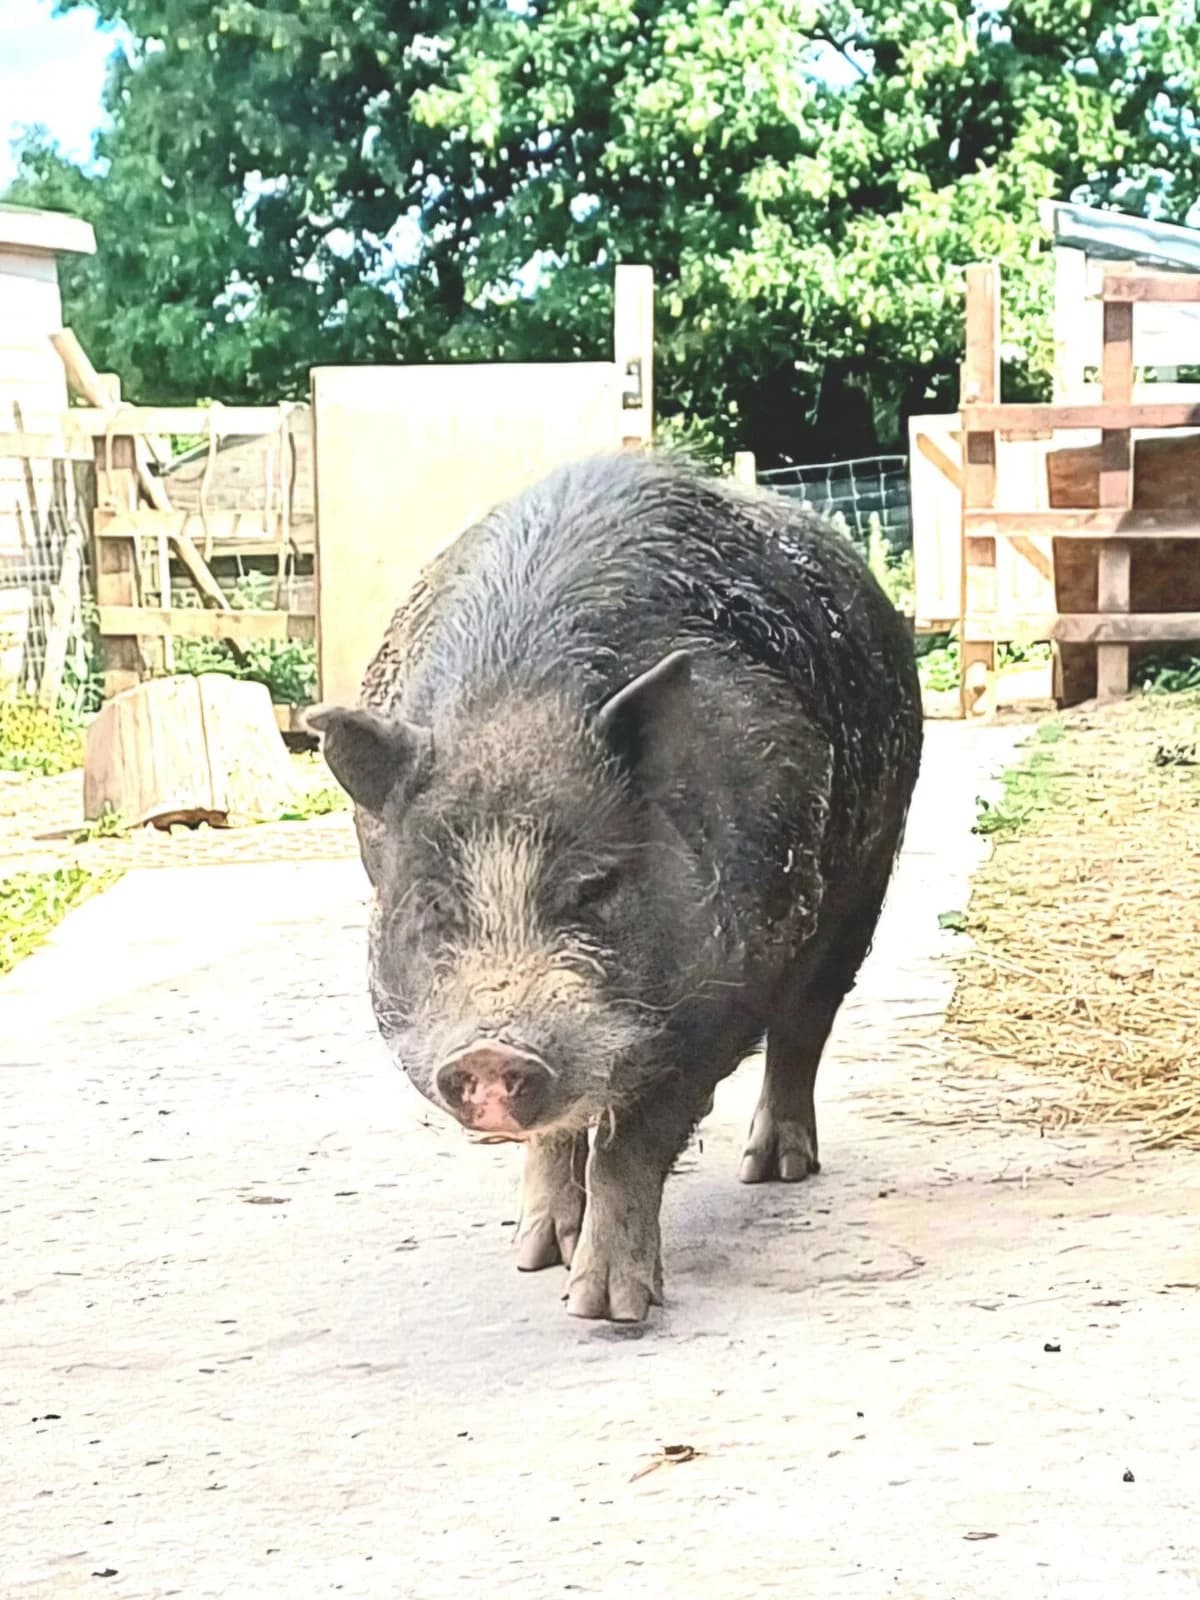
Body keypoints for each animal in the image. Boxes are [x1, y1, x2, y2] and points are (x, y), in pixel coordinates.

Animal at [308, 452, 922, 1323]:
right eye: (435, 903)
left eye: (594, 885)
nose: (493, 1051)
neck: (518, 707)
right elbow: (561, 1131)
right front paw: (534, 1259)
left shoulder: (726, 985)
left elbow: (635, 1138)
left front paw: (602, 1308)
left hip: (868, 873)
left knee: (807, 1024)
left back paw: (771, 1170)